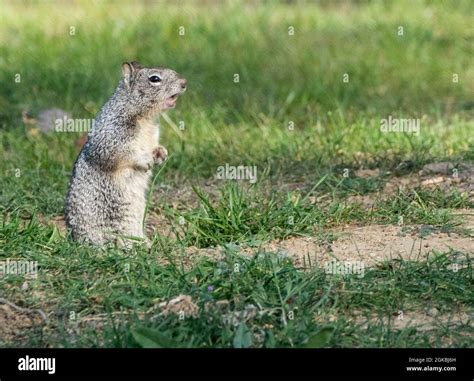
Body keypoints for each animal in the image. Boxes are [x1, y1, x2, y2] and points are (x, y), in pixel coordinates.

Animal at [65, 59, 187, 243]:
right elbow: (120, 153)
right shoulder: (113, 135)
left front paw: (161, 153)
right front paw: (145, 160)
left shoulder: (152, 136)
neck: (145, 118)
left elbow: (154, 146)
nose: (184, 83)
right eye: (154, 78)